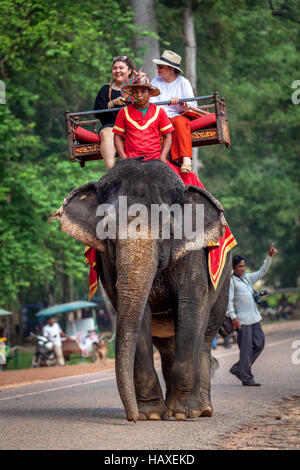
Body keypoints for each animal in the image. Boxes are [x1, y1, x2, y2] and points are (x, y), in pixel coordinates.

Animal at [50, 158, 231, 422]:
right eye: (106, 227)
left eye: (168, 226)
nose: (131, 417)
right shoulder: (107, 262)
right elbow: (139, 315)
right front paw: (151, 414)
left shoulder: (192, 253)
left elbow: (191, 307)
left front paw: (184, 413)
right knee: (167, 347)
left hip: (224, 283)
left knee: (206, 337)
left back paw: (203, 409)